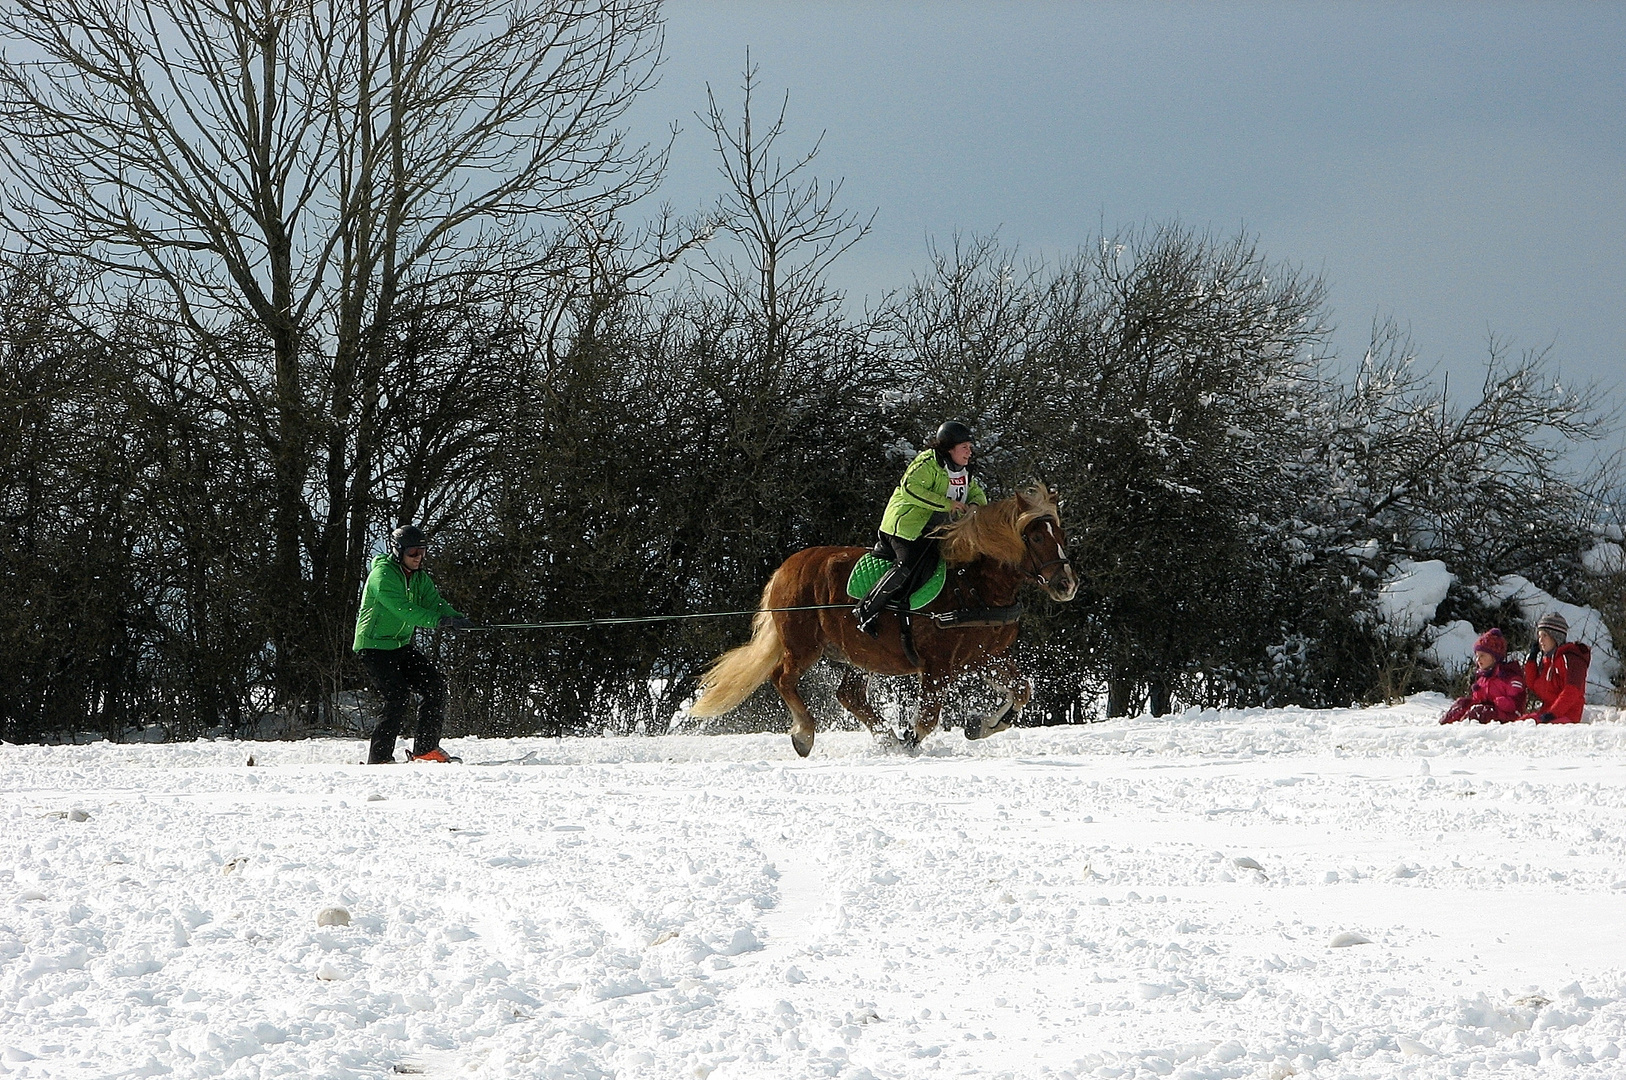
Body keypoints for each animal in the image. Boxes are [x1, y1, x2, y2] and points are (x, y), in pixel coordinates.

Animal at [689, 484, 1079, 754]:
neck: (974, 585)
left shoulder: (985, 657)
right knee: (782, 678)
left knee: (849, 695)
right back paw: (805, 733)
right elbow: (927, 717)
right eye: (1034, 536)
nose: (1066, 585)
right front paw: (912, 742)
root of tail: (786, 568)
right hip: (803, 646)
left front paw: (980, 725)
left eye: (1060, 533)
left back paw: (885, 736)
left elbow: (1021, 689)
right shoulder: (937, 665)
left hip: (860, 654)